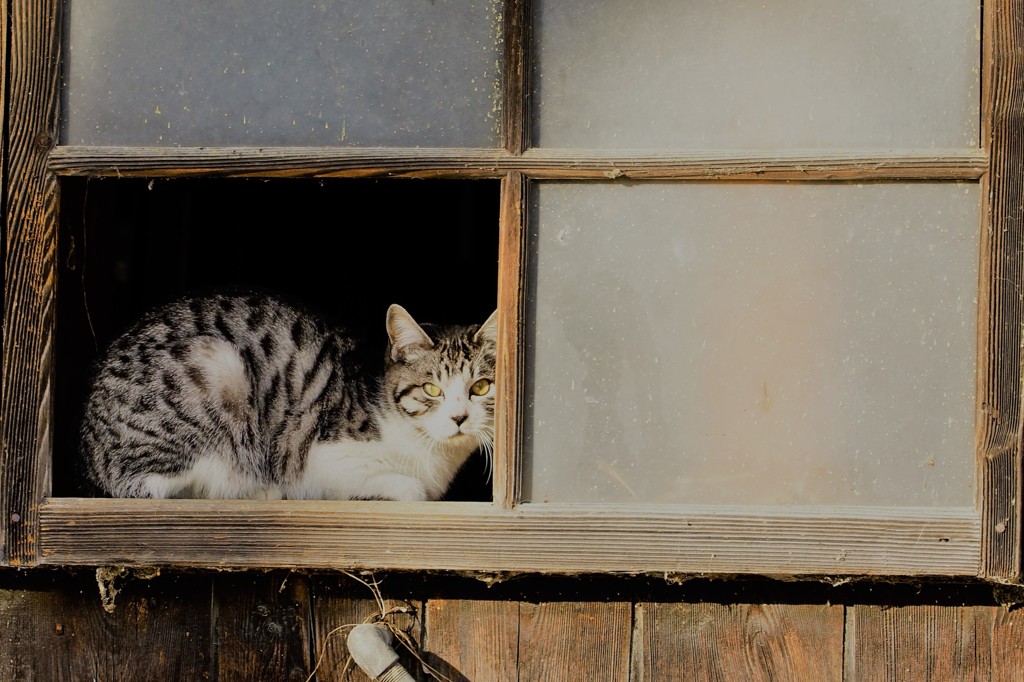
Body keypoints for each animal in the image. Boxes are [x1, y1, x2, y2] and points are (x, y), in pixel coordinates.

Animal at [79, 292, 495, 499]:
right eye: (431, 389)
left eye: (480, 387)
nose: (460, 417)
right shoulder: (319, 458)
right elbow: (408, 488)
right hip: (217, 367)